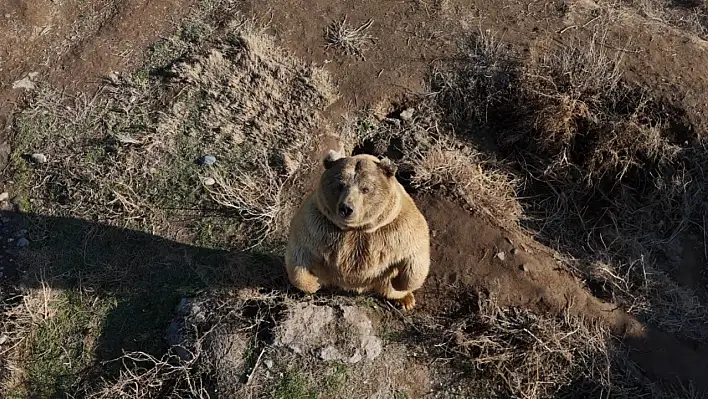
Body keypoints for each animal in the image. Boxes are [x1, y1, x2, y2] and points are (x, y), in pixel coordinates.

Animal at [284, 152, 428, 310]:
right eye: (340, 185)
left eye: (365, 189)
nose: (346, 208)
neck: (357, 228)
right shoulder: (318, 224)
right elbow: (299, 253)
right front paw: (313, 284)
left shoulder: (395, 227)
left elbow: (415, 255)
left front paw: (400, 285)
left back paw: (405, 300)